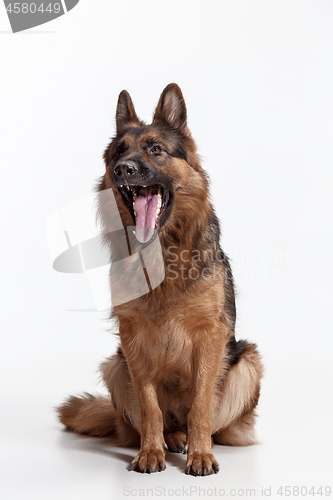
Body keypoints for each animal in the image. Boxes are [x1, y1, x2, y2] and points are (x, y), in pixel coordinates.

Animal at [57, 83, 264, 476]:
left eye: (156, 149)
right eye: (119, 152)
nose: (123, 168)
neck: (161, 256)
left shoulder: (210, 335)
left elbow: (200, 404)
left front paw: (201, 454)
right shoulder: (132, 338)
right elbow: (149, 405)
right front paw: (151, 451)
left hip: (247, 362)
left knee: (212, 422)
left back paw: (191, 441)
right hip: (115, 366)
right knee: (152, 420)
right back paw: (170, 439)